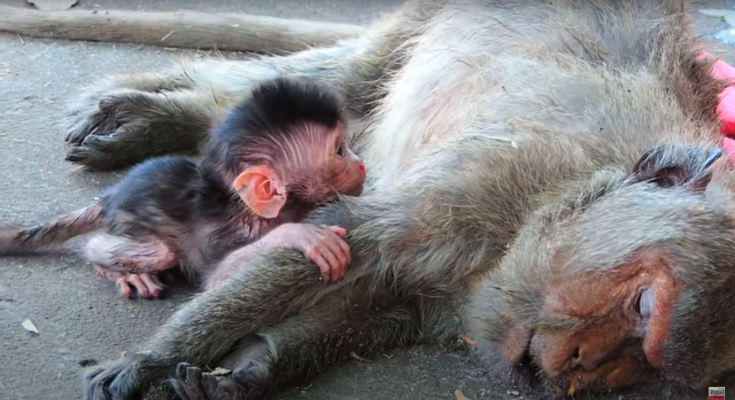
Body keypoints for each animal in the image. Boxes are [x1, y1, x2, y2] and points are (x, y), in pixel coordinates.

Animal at [0, 78, 368, 298]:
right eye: (339, 150)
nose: (361, 164)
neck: (243, 206)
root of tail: (110, 197)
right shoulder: (226, 232)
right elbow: (216, 280)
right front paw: (300, 235)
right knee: (155, 251)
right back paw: (117, 268)